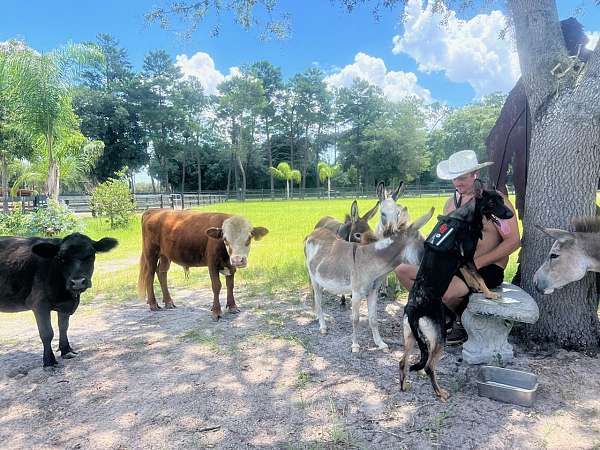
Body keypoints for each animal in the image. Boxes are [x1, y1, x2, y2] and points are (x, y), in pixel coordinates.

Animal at [0, 234, 118, 368]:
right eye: (61, 258)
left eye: (91, 255)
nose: (77, 282)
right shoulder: (39, 304)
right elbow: (47, 333)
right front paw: (49, 361)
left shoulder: (66, 305)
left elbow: (63, 327)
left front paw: (66, 350)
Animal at [137, 209, 268, 318]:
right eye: (225, 239)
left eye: (249, 238)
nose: (237, 260)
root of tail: (155, 210)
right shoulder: (212, 263)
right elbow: (216, 286)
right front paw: (216, 311)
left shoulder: (230, 266)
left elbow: (230, 285)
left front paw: (232, 306)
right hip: (151, 253)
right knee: (150, 275)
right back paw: (153, 304)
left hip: (165, 255)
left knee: (161, 272)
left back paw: (169, 302)